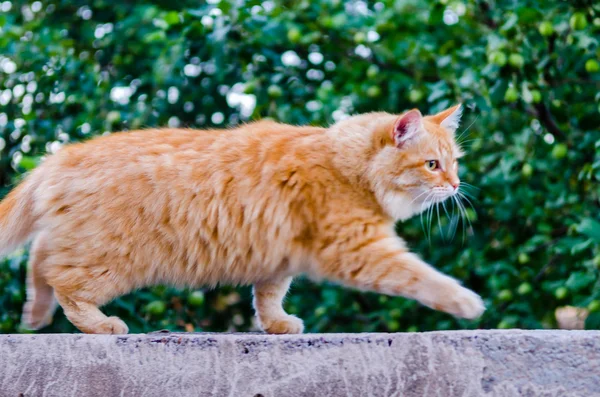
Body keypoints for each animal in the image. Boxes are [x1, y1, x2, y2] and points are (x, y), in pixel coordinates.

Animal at [0, 103, 482, 332]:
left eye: (454, 163)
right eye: (433, 165)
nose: (456, 185)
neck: (345, 164)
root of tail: (59, 156)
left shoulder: (279, 256)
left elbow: (268, 297)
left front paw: (276, 325)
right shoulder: (357, 248)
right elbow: (420, 276)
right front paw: (464, 301)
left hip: (81, 244)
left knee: (39, 261)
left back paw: (34, 315)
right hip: (109, 259)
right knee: (63, 282)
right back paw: (98, 325)